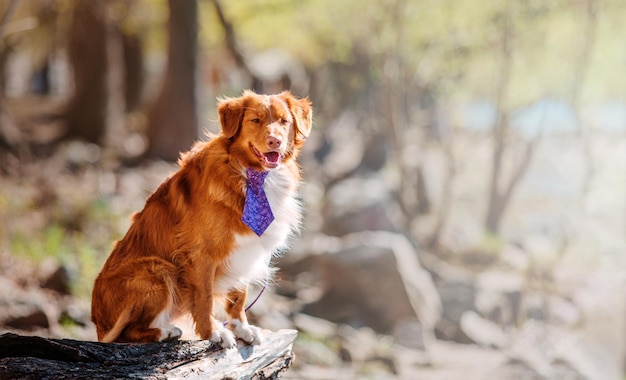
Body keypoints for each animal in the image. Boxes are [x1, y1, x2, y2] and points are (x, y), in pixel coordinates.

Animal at [89, 91, 310, 348]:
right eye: (255, 120)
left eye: (284, 121)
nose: (275, 141)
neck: (252, 176)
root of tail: (98, 323)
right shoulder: (200, 254)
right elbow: (204, 298)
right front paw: (213, 332)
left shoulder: (247, 248)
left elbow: (239, 295)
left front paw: (242, 328)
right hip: (157, 269)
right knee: (127, 333)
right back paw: (163, 332)